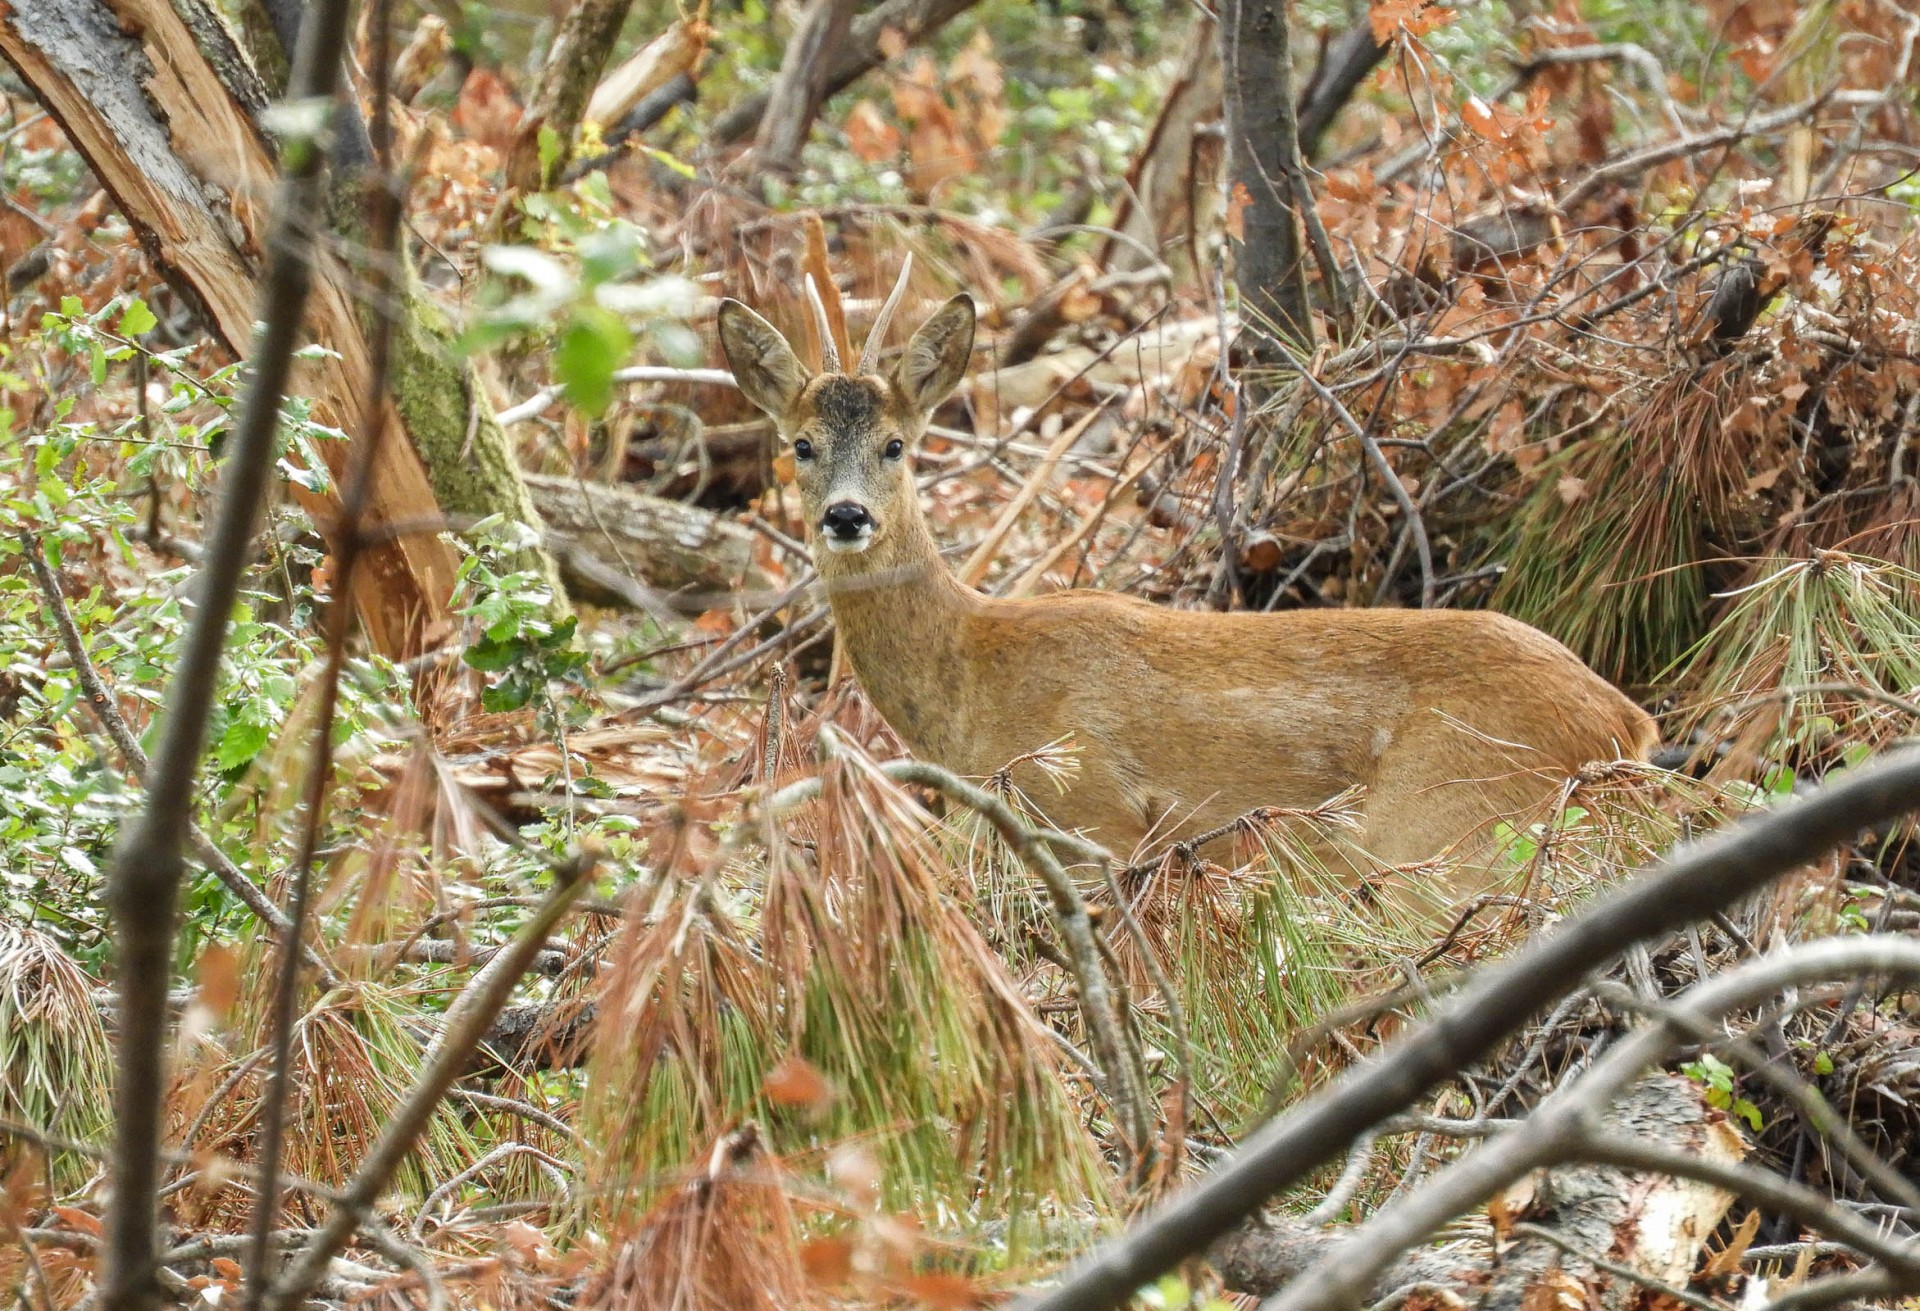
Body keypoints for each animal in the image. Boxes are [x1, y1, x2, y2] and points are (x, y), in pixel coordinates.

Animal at [714, 266, 1658, 882]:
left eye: (896, 444)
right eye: (800, 444)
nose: (846, 516)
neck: (971, 681)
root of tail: (1626, 720)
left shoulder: (1096, 813)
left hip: (1448, 824)